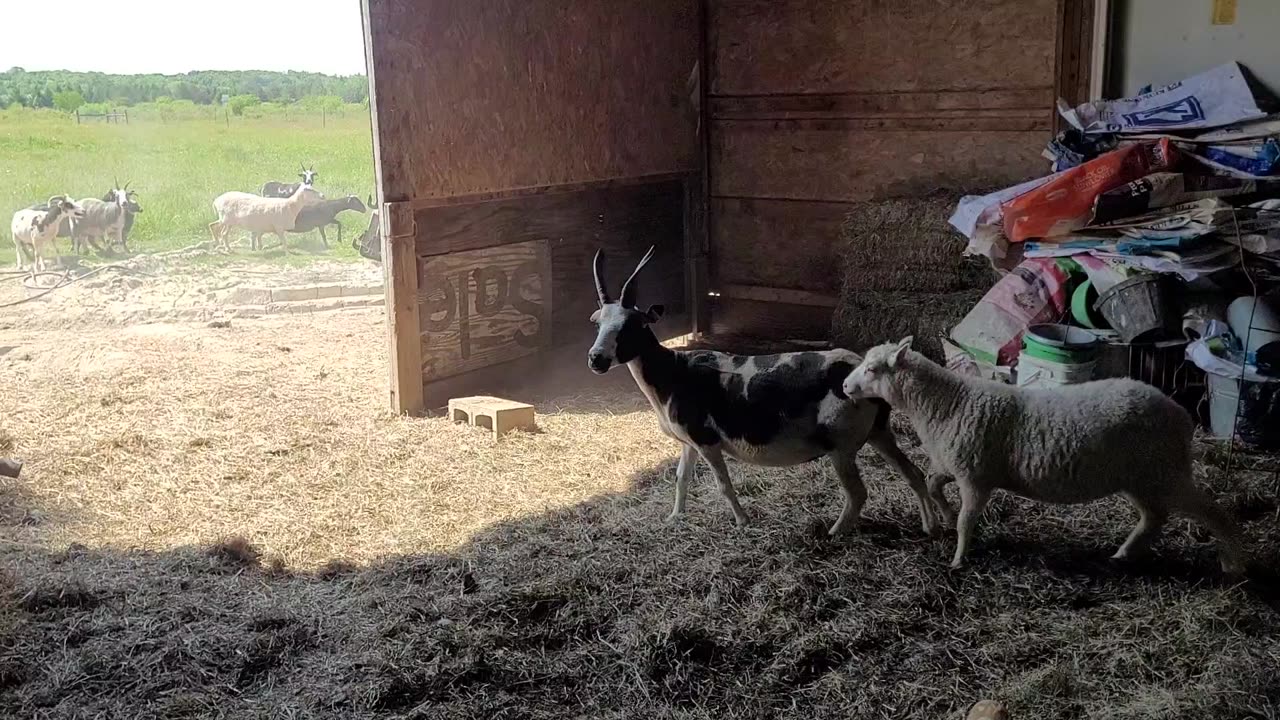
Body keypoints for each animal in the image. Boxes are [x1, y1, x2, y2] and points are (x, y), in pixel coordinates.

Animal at [588, 245, 942, 532]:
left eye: (631, 325)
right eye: (598, 323)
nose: (596, 359)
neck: (675, 372)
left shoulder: (707, 440)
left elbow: (723, 485)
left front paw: (743, 521)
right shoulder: (688, 440)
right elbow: (681, 478)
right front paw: (674, 517)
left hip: (840, 443)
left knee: (857, 493)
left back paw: (833, 533)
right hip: (878, 431)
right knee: (913, 473)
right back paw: (930, 526)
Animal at [844, 333, 1244, 573]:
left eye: (873, 369)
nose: (846, 386)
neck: (947, 403)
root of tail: (1180, 415)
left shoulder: (976, 477)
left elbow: (966, 521)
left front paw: (958, 559)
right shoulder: (954, 465)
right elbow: (931, 484)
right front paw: (943, 516)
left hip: (1163, 471)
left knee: (1211, 511)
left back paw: (1234, 562)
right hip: (1138, 477)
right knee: (1154, 518)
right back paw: (1123, 554)